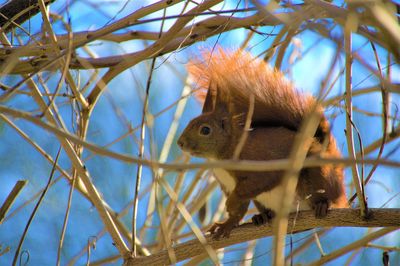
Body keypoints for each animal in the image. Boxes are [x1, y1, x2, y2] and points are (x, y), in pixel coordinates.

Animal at [177, 48, 346, 239]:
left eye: (205, 130)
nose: (180, 143)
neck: (224, 153)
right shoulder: (226, 183)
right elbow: (239, 211)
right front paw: (226, 225)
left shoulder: (260, 162)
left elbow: (256, 184)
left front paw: (231, 203)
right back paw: (263, 216)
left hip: (317, 176)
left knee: (324, 194)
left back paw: (323, 204)